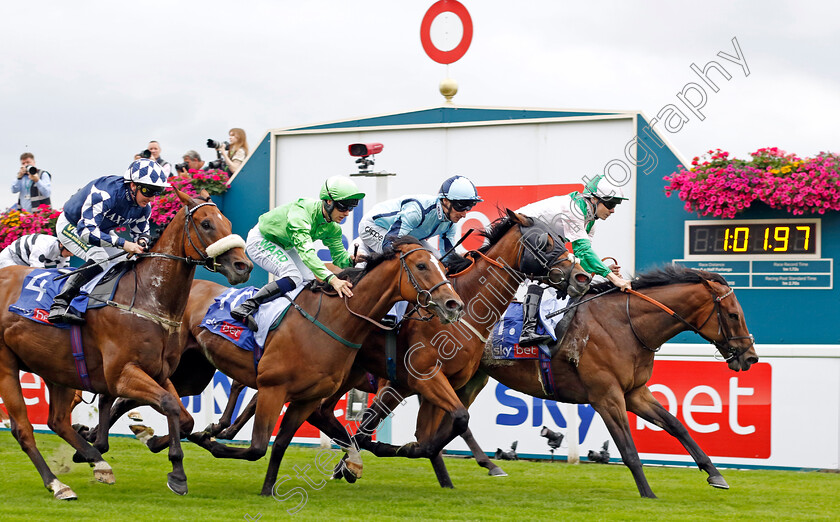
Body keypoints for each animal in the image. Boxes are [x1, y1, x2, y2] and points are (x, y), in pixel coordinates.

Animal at [0, 187, 253, 496]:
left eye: (227, 222)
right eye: (206, 224)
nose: (243, 266)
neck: (146, 298)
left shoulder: (160, 373)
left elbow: (185, 419)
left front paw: (167, 450)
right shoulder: (122, 374)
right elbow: (168, 404)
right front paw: (176, 472)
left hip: (54, 366)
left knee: (57, 421)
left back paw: (95, 461)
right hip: (7, 366)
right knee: (23, 429)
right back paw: (58, 483)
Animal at [440, 266, 760, 498]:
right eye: (733, 315)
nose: (751, 357)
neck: (625, 324)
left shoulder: (635, 393)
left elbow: (676, 425)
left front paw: (715, 474)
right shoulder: (607, 397)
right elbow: (628, 449)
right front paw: (648, 494)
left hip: (472, 379)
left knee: (454, 419)